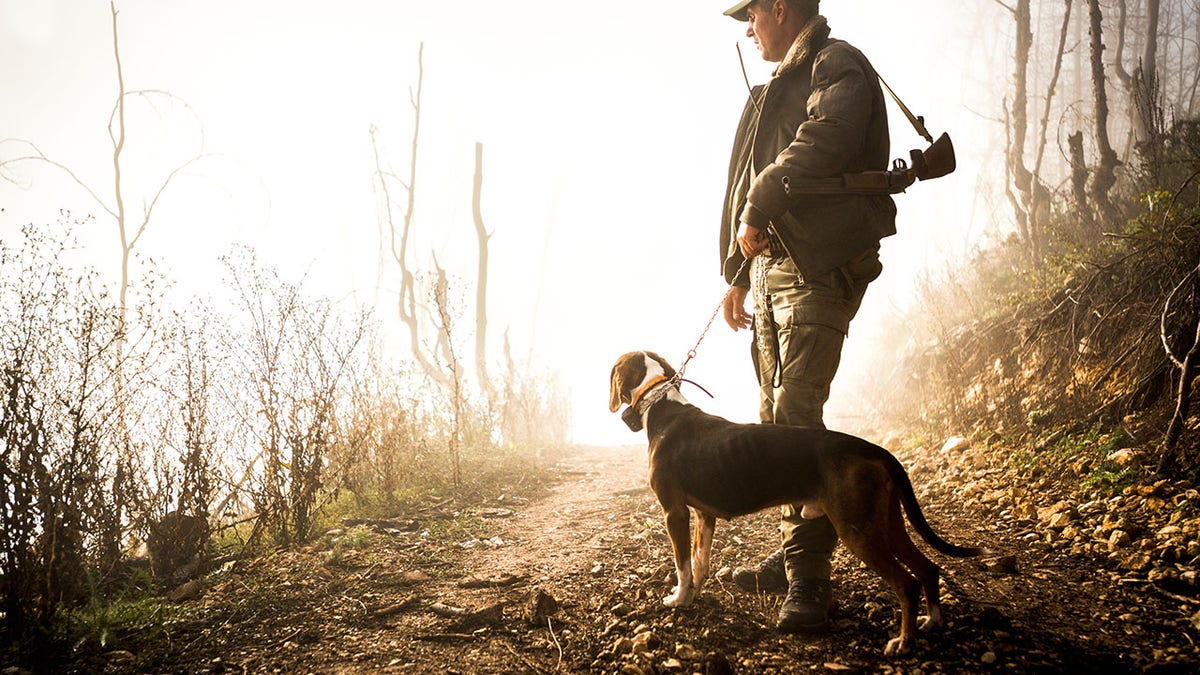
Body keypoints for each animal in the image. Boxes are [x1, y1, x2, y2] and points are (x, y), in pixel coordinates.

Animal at [609, 348, 984, 653]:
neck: (662, 404)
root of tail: (871, 448)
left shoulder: (674, 513)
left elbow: (682, 565)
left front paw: (679, 598)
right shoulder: (704, 515)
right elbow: (700, 562)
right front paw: (694, 594)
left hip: (857, 530)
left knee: (906, 584)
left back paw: (904, 642)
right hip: (886, 523)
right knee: (928, 568)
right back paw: (932, 622)